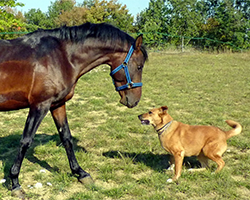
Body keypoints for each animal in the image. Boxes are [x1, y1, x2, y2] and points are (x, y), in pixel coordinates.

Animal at [0, 22, 147, 197]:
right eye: (139, 66)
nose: (134, 100)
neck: (62, 57)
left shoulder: (57, 104)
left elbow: (66, 138)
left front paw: (81, 173)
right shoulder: (40, 105)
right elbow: (25, 141)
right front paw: (15, 182)